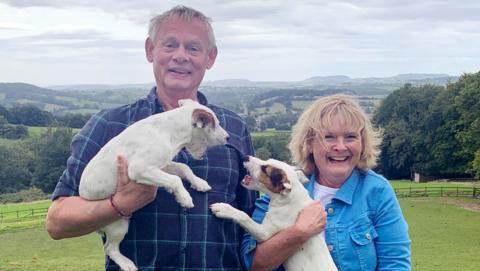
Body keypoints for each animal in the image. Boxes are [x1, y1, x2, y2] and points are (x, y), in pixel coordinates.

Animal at [79, 99, 229, 271]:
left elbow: (184, 168)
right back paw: (127, 264)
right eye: (216, 124)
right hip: (118, 224)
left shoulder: (163, 164)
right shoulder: (140, 168)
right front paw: (185, 198)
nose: (228, 137)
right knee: (110, 249)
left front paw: (199, 183)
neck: (169, 130)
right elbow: (175, 179)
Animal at [210, 157, 338, 271]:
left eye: (265, 169)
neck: (289, 198)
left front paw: (224, 209)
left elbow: (244, 216)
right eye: (267, 160)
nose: (245, 157)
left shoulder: (264, 233)